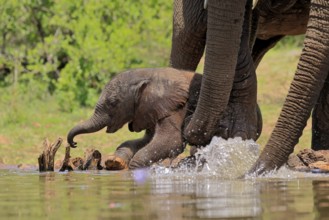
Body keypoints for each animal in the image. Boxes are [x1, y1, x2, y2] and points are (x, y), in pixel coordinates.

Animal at [66, 68, 200, 169]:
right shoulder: (149, 109)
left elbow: (172, 141)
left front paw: (135, 168)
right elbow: (147, 139)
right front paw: (115, 162)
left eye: (113, 103)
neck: (149, 75)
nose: (74, 143)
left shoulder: (177, 107)